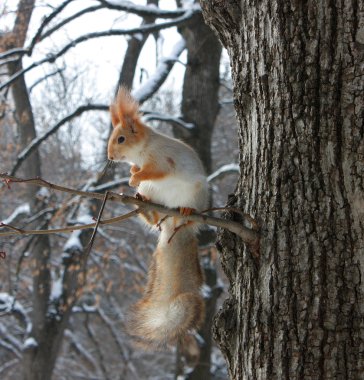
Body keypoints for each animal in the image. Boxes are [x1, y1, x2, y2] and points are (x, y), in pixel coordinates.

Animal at [106, 87, 208, 348]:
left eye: (121, 139)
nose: (110, 157)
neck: (143, 150)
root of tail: (173, 224)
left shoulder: (163, 161)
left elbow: (154, 171)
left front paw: (134, 176)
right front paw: (132, 173)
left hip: (195, 197)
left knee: (188, 216)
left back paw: (186, 212)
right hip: (154, 195)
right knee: (154, 220)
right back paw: (142, 204)